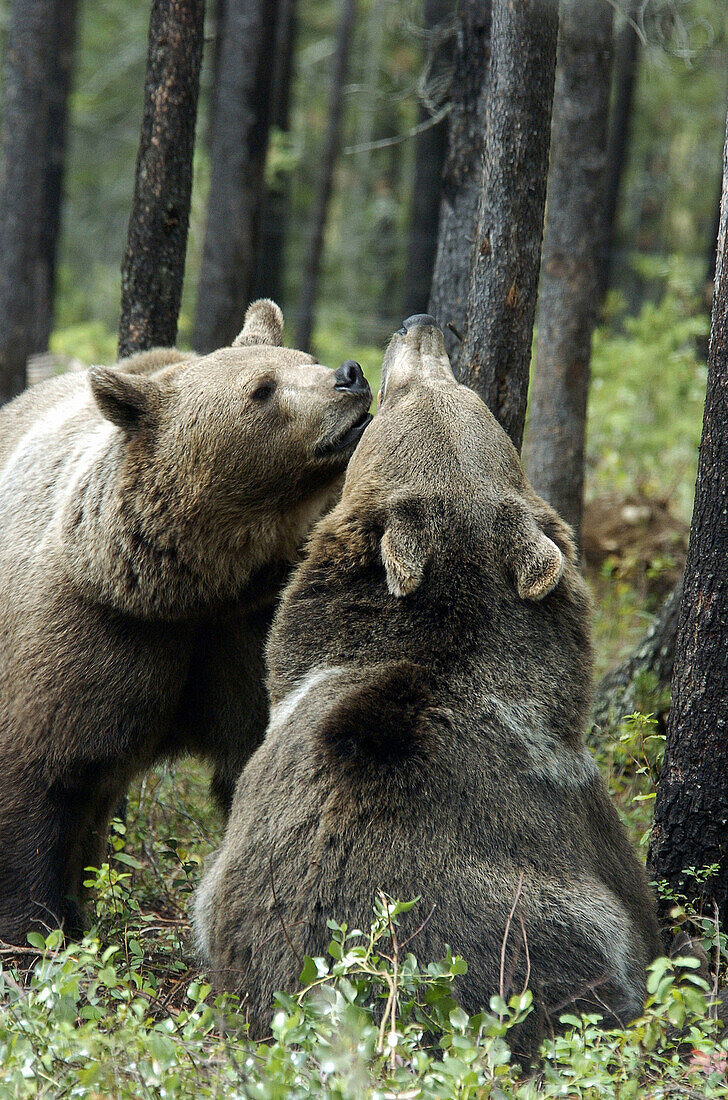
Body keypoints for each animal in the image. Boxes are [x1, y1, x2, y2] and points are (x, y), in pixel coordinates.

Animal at [0, 301, 371, 946]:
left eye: (305, 356)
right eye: (262, 390)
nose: (349, 375)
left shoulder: (251, 632)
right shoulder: (96, 632)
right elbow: (47, 774)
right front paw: (36, 927)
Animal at [195, 314, 659, 1060]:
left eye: (444, 388)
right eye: (414, 395)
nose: (419, 327)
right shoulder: (582, 812)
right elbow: (643, 915)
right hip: (544, 936)